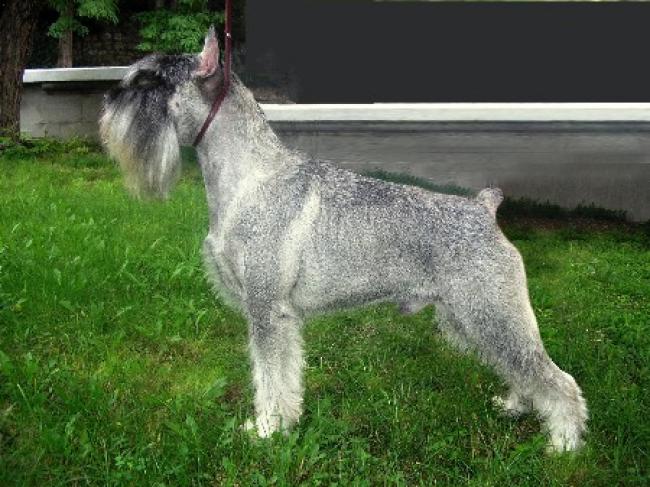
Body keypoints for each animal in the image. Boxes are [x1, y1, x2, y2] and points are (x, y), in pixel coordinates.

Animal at [99, 28, 587, 452]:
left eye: (150, 80)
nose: (107, 99)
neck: (249, 176)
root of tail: (485, 209)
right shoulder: (280, 316)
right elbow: (284, 375)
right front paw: (284, 422)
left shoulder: (266, 311)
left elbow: (268, 376)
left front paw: (265, 429)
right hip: (469, 318)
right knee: (521, 370)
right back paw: (515, 406)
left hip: (493, 312)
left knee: (555, 378)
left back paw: (564, 444)